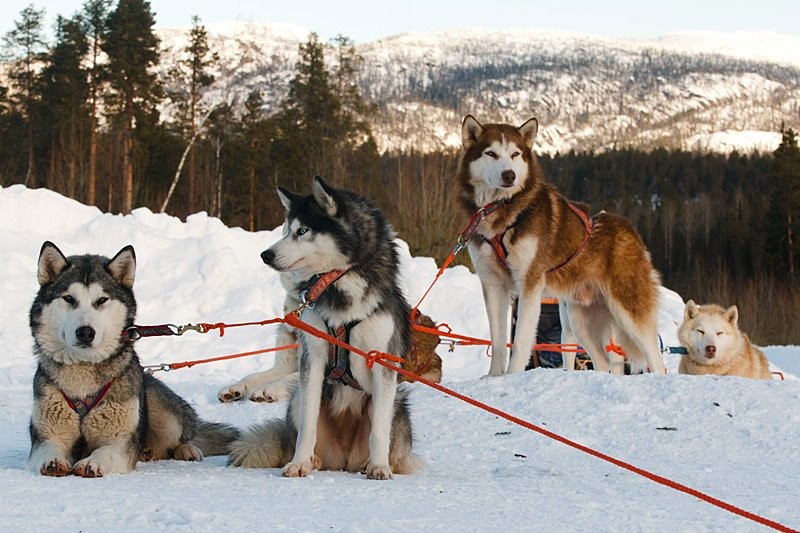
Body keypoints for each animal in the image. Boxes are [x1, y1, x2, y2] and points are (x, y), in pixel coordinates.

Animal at [27, 241, 238, 478]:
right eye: (69, 298)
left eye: (102, 300)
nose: (85, 332)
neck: (83, 374)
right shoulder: (46, 434)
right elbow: (49, 447)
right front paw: (54, 461)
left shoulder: (121, 440)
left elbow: (106, 451)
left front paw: (92, 462)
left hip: (159, 406)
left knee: (181, 437)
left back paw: (185, 449)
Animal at [228, 176, 418, 478]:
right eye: (286, 231)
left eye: (303, 231)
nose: (265, 254)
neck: (340, 285)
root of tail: (345, 460)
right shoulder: (312, 358)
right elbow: (308, 423)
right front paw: (299, 462)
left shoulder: (382, 361)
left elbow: (379, 429)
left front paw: (379, 466)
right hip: (297, 400)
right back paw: (313, 460)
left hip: (397, 405)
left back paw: (373, 462)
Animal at [460, 116, 664, 374]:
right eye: (491, 153)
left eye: (515, 154)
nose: (509, 175)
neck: (503, 211)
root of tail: (630, 230)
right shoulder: (493, 283)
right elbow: (498, 344)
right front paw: (494, 377)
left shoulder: (530, 285)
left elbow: (520, 342)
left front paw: (513, 375)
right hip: (579, 319)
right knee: (602, 361)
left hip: (628, 310)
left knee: (655, 358)